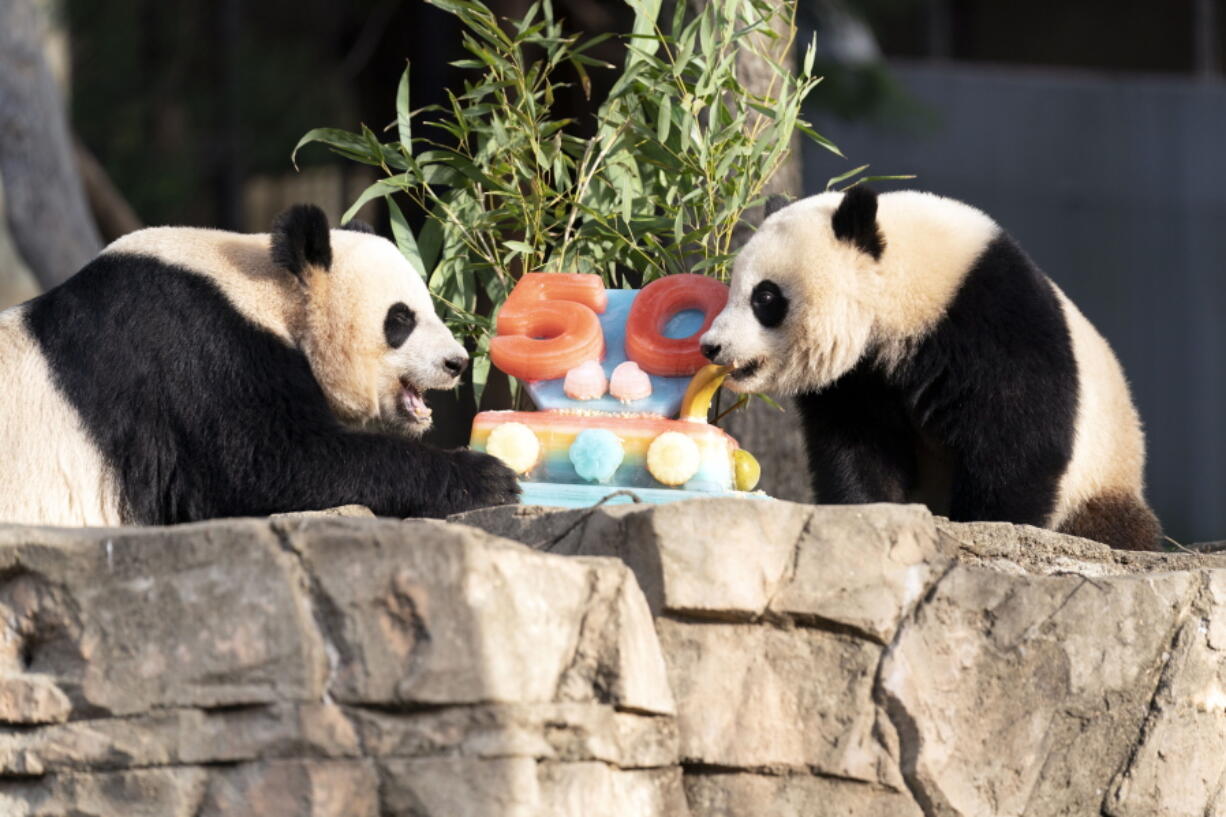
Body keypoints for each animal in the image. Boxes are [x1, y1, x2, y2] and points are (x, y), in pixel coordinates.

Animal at [0, 202, 517, 522]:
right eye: (401, 318)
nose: (456, 362)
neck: (263, 288)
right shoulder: (193, 351)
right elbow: (268, 465)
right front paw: (488, 477)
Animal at [701, 187, 1157, 549]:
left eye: (765, 297)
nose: (711, 346)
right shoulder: (859, 378)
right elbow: (857, 443)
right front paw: (869, 512)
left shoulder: (993, 320)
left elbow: (1019, 440)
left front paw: (989, 524)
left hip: (1102, 475)